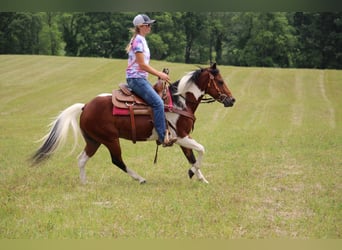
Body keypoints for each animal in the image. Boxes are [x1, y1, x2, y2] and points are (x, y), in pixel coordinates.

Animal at [30, 62, 235, 184]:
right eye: (220, 81)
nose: (232, 100)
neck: (179, 101)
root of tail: (85, 106)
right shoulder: (180, 136)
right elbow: (201, 150)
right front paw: (193, 174)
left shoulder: (184, 137)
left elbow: (192, 156)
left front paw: (201, 178)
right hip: (110, 139)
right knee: (117, 160)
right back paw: (140, 178)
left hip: (94, 141)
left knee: (82, 159)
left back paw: (85, 183)